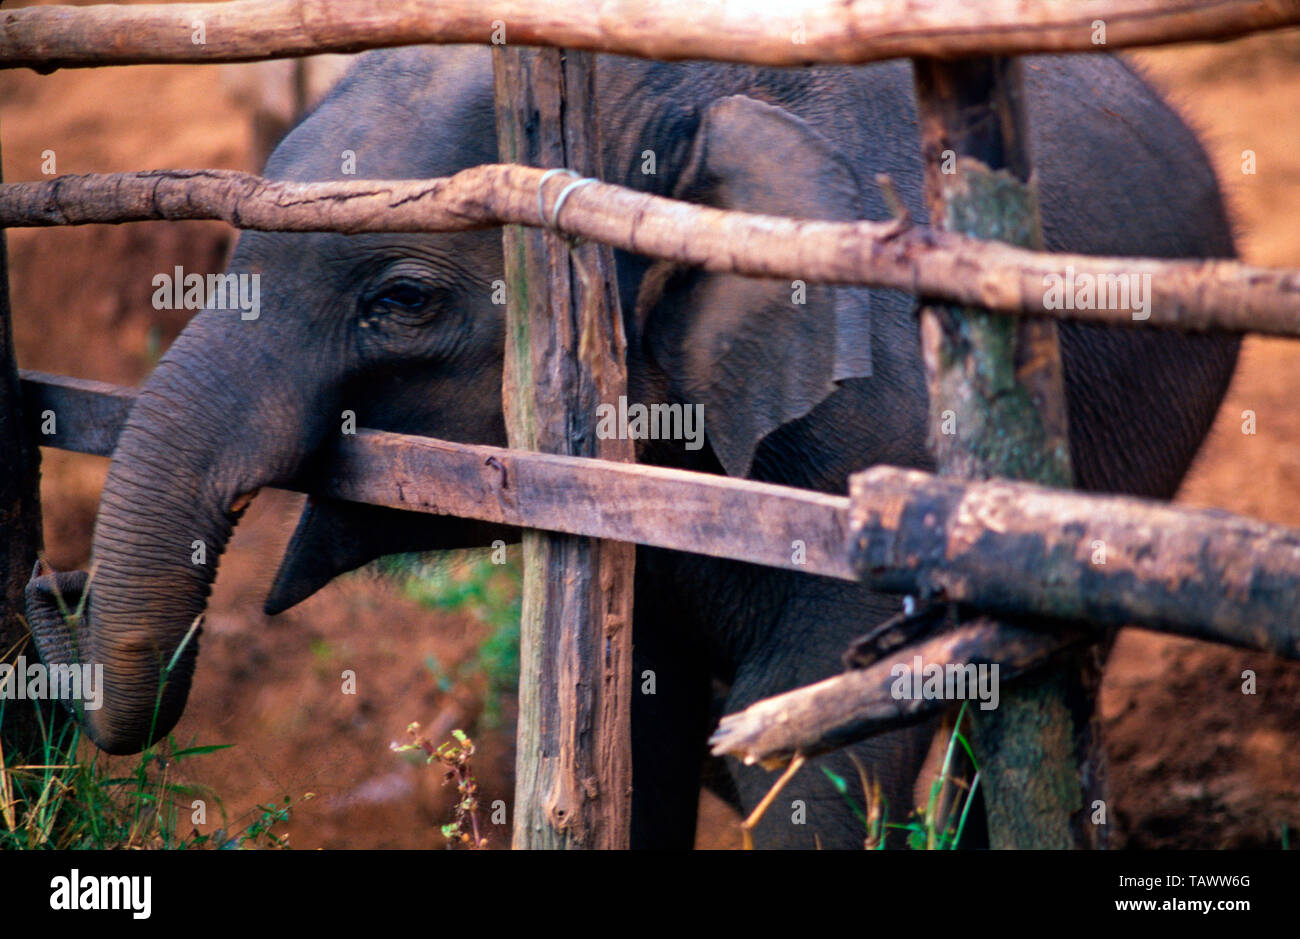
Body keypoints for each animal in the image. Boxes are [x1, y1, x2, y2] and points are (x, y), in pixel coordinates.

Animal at [26, 46, 1239, 849]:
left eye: (402, 301)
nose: (53, 581)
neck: (671, 95)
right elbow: (642, 735)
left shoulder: (886, 457)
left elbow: (813, 748)